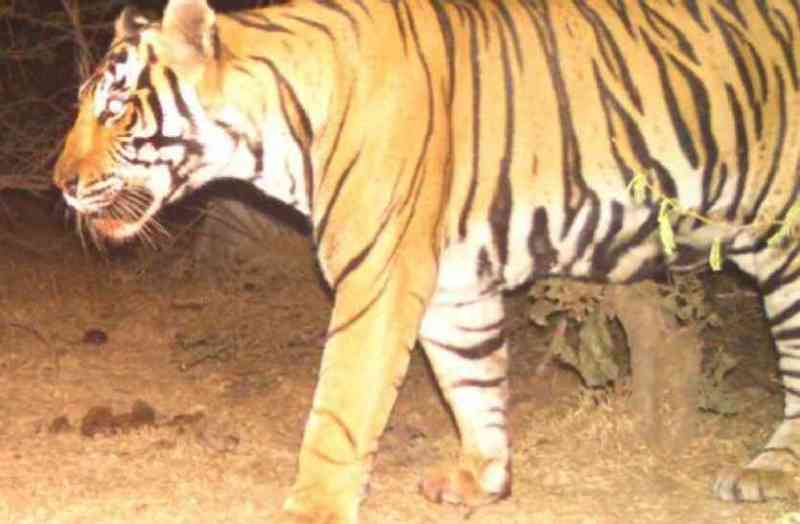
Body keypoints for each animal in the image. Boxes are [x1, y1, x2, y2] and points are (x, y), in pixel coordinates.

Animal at [53, 0, 800, 521]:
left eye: (116, 110)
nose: (59, 182)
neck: (277, 129)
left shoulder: (378, 273)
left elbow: (341, 407)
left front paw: (310, 508)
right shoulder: (455, 282)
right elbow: (472, 382)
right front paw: (483, 479)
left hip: (785, 238)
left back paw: (766, 474)